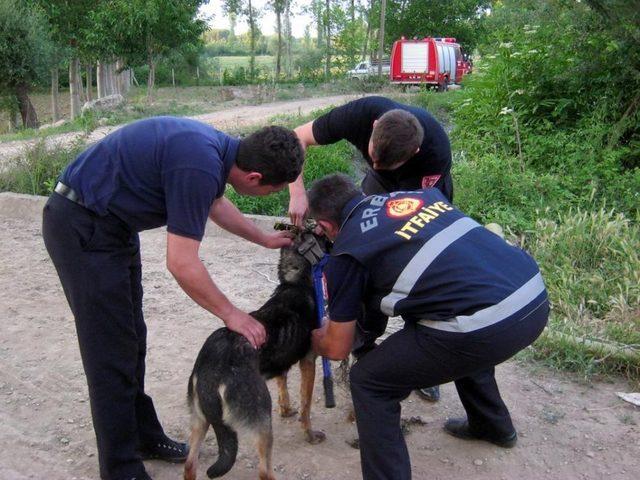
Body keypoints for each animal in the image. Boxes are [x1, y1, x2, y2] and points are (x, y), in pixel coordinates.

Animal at [184, 232, 324, 480]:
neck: (295, 283)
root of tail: (212, 371)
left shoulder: (281, 363)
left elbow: (283, 385)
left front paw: (286, 410)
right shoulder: (308, 361)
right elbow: (306, 407)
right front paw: (309, 435)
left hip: (200, 421)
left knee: (190, 465)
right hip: (262, 419)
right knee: (264, 472)